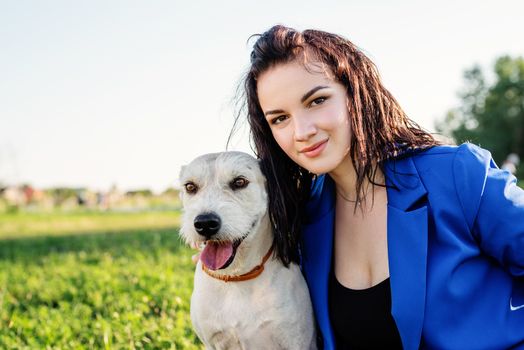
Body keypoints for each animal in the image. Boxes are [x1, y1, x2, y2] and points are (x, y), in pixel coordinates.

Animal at [178, 152, 318, 350]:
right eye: (190, 186)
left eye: (239, 182)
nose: (205, 223)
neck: (237, 277)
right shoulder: (212, 342)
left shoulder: (297, 342)